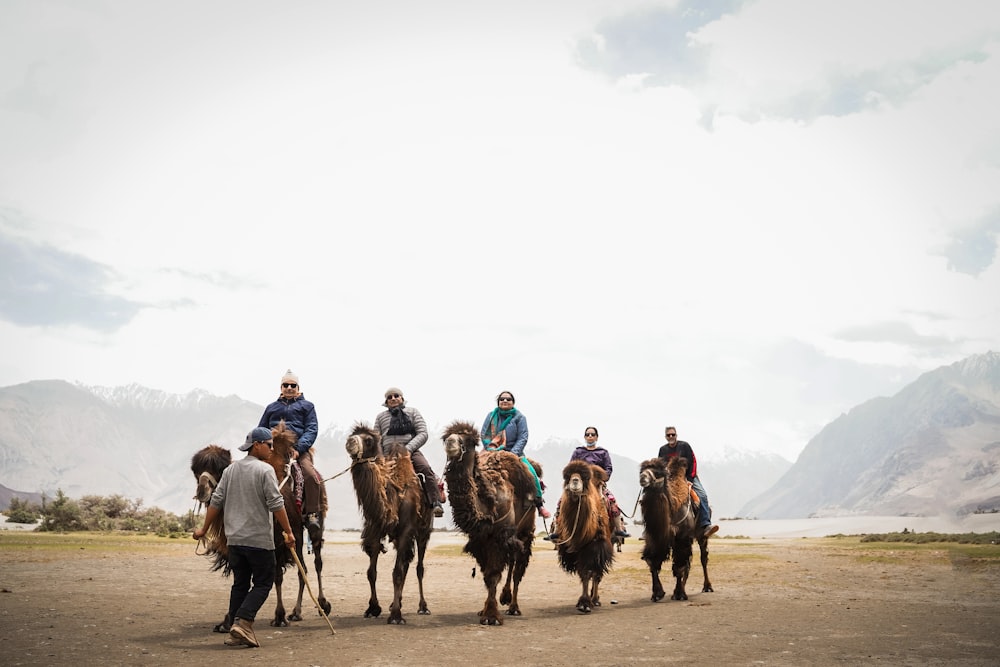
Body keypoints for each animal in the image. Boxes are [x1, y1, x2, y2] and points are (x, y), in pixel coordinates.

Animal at [193, 422, 334, 632]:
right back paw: (297, 612)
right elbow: (243, 577)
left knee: (316, 562)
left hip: (311, 523)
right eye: (196, 469)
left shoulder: (278, 540)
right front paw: (226, 622)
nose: (202, 490)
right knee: (303, 568)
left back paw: (321, 604)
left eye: (219, 468)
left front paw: (279, 616)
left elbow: (276, 576)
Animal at [344, 426, 430, 624]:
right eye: (352, 435)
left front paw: (396, 616)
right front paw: (373, 608)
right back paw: (395, 602)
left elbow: (397, 572)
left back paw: (422, 607)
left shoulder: (406, 530)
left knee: (418, 567)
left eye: (368, 440)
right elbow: (371, 572)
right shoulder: (375, 529)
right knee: (406, 563)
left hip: (424, 530)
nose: (350, 442)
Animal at [444, 420, 544, 624]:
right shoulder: (480, 539)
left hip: (525, 530)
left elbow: (494, 574)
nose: (451, 442)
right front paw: (485, 611)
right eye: (447, 437)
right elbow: (487, 574)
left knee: (518, 568)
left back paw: (513, 606)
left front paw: (491, 616)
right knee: (512, 560)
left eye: (470, 441)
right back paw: (505, 598)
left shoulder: (500, 535)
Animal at [552, 462, 612, 612]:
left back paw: (595, 599)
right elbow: (584, 573)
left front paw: (587, 602)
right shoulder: (575, 550)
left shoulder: (596, 546)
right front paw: (584, 602)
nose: (575, 481)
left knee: (597, 573)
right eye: (567, 476)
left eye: (584, 477)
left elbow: (591, 572)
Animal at [640, 456, 712, 604]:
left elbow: (679, 567)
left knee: (703, 558)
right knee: (689, 563)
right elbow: (652, 562)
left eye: (658, 472)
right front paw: (657, 593)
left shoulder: (682, 538)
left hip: (700, 535)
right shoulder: (655, 539)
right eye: (642, 470)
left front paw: (679, 594)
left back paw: (706, 587)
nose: (642, 477)